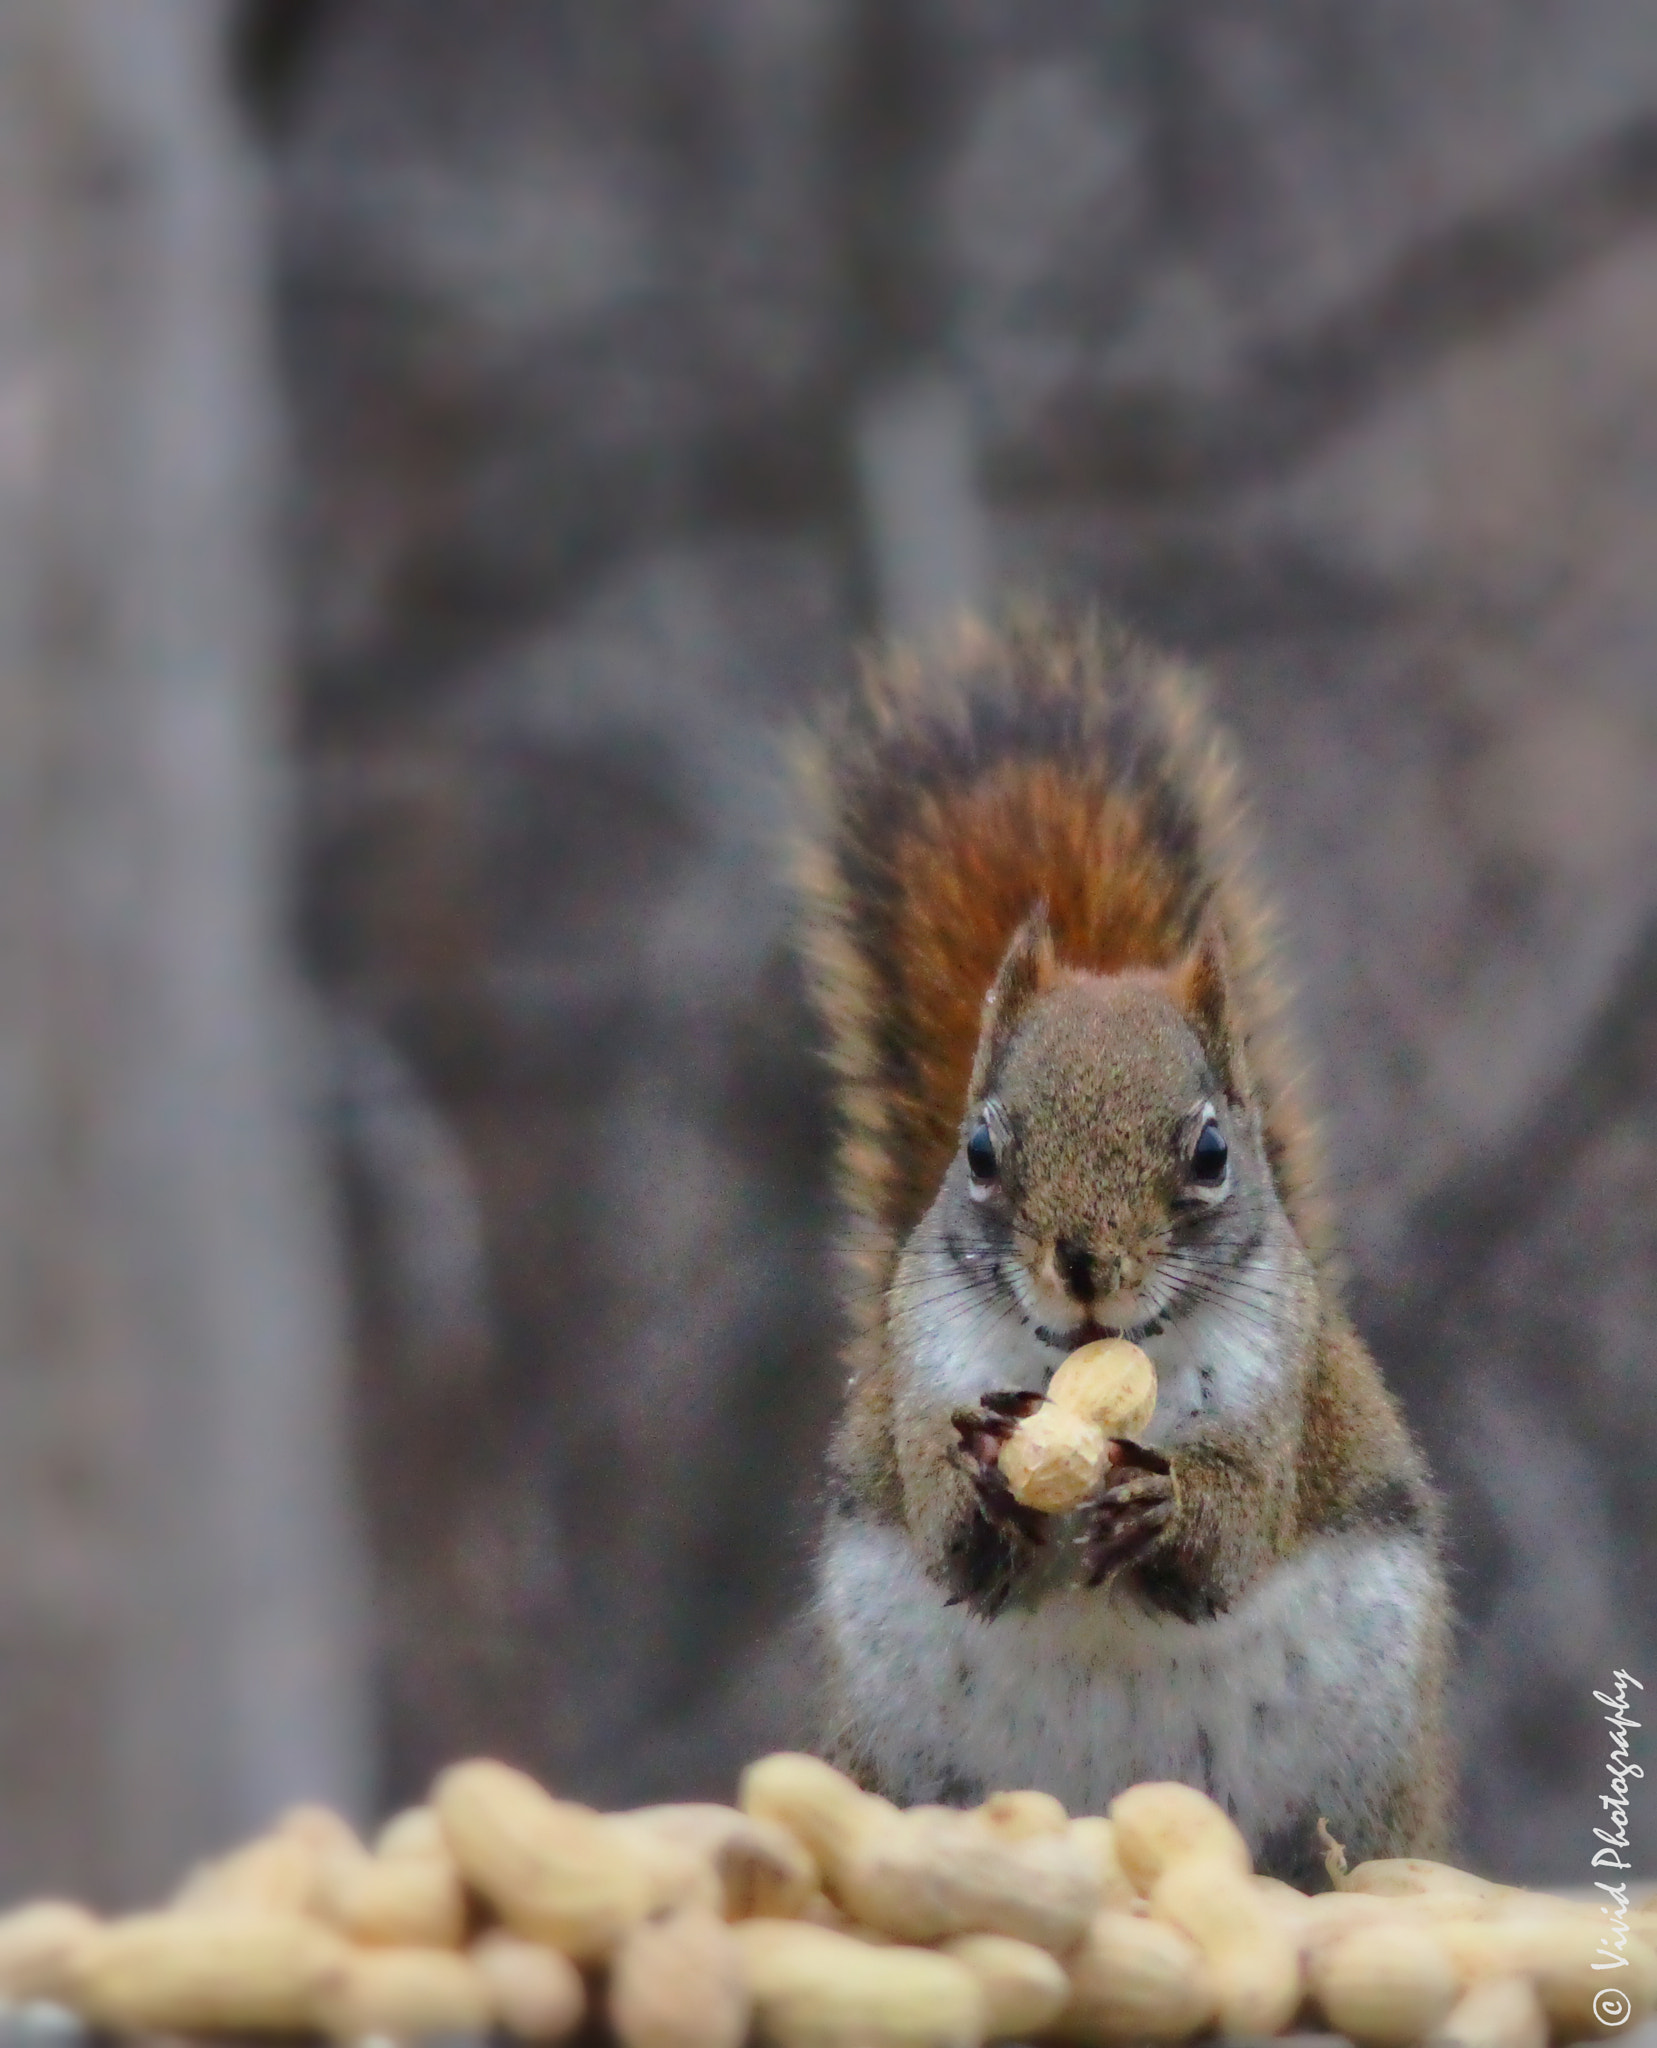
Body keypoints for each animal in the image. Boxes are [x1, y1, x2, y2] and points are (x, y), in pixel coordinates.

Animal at [791, 612, 1452, 1889]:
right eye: (979, 1147)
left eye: (1210, 1150)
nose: (1084, 1264)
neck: (1090, 1370)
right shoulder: (918, 1367)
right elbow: (944, 1525)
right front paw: (979, 1476)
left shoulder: (1281, 1392)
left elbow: (1238, 1524)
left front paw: (1166, 1506)